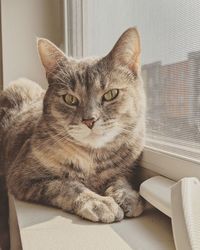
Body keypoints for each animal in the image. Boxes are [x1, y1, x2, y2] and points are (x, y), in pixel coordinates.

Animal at [0, 27, 146, 223]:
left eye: (111, 94)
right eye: (69, 99)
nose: (89, 120)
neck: (93, 159)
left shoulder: (126, 168)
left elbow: (120, 178)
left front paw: (127, 195)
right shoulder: (21, 176)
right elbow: (67, 184)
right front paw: (99, 202)